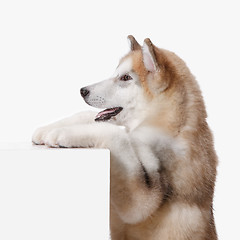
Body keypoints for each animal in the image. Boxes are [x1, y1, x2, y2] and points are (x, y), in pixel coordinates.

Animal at [32, 36, 218, 240]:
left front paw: (63, 133)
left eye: (125, 78)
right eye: (117, 74)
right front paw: (45, 129)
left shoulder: (142, 200)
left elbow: (117, 135)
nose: (83, 90)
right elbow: (89, 116)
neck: (168, 124)